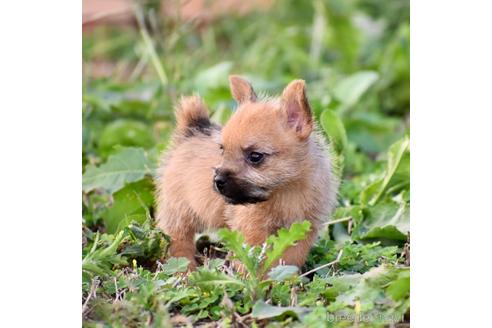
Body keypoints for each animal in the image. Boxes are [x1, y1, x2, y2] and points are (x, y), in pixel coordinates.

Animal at [157, 75, 338, 270]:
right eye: (222, 149)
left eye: (255, 156)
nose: (217, 181)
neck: (285, 191)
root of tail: (192, 129)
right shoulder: (252, 230)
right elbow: (252, 260)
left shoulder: (302, 232)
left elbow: (289, 261)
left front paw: (285, 277)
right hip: (178, 212)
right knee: (178, 241)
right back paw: (184, 270)